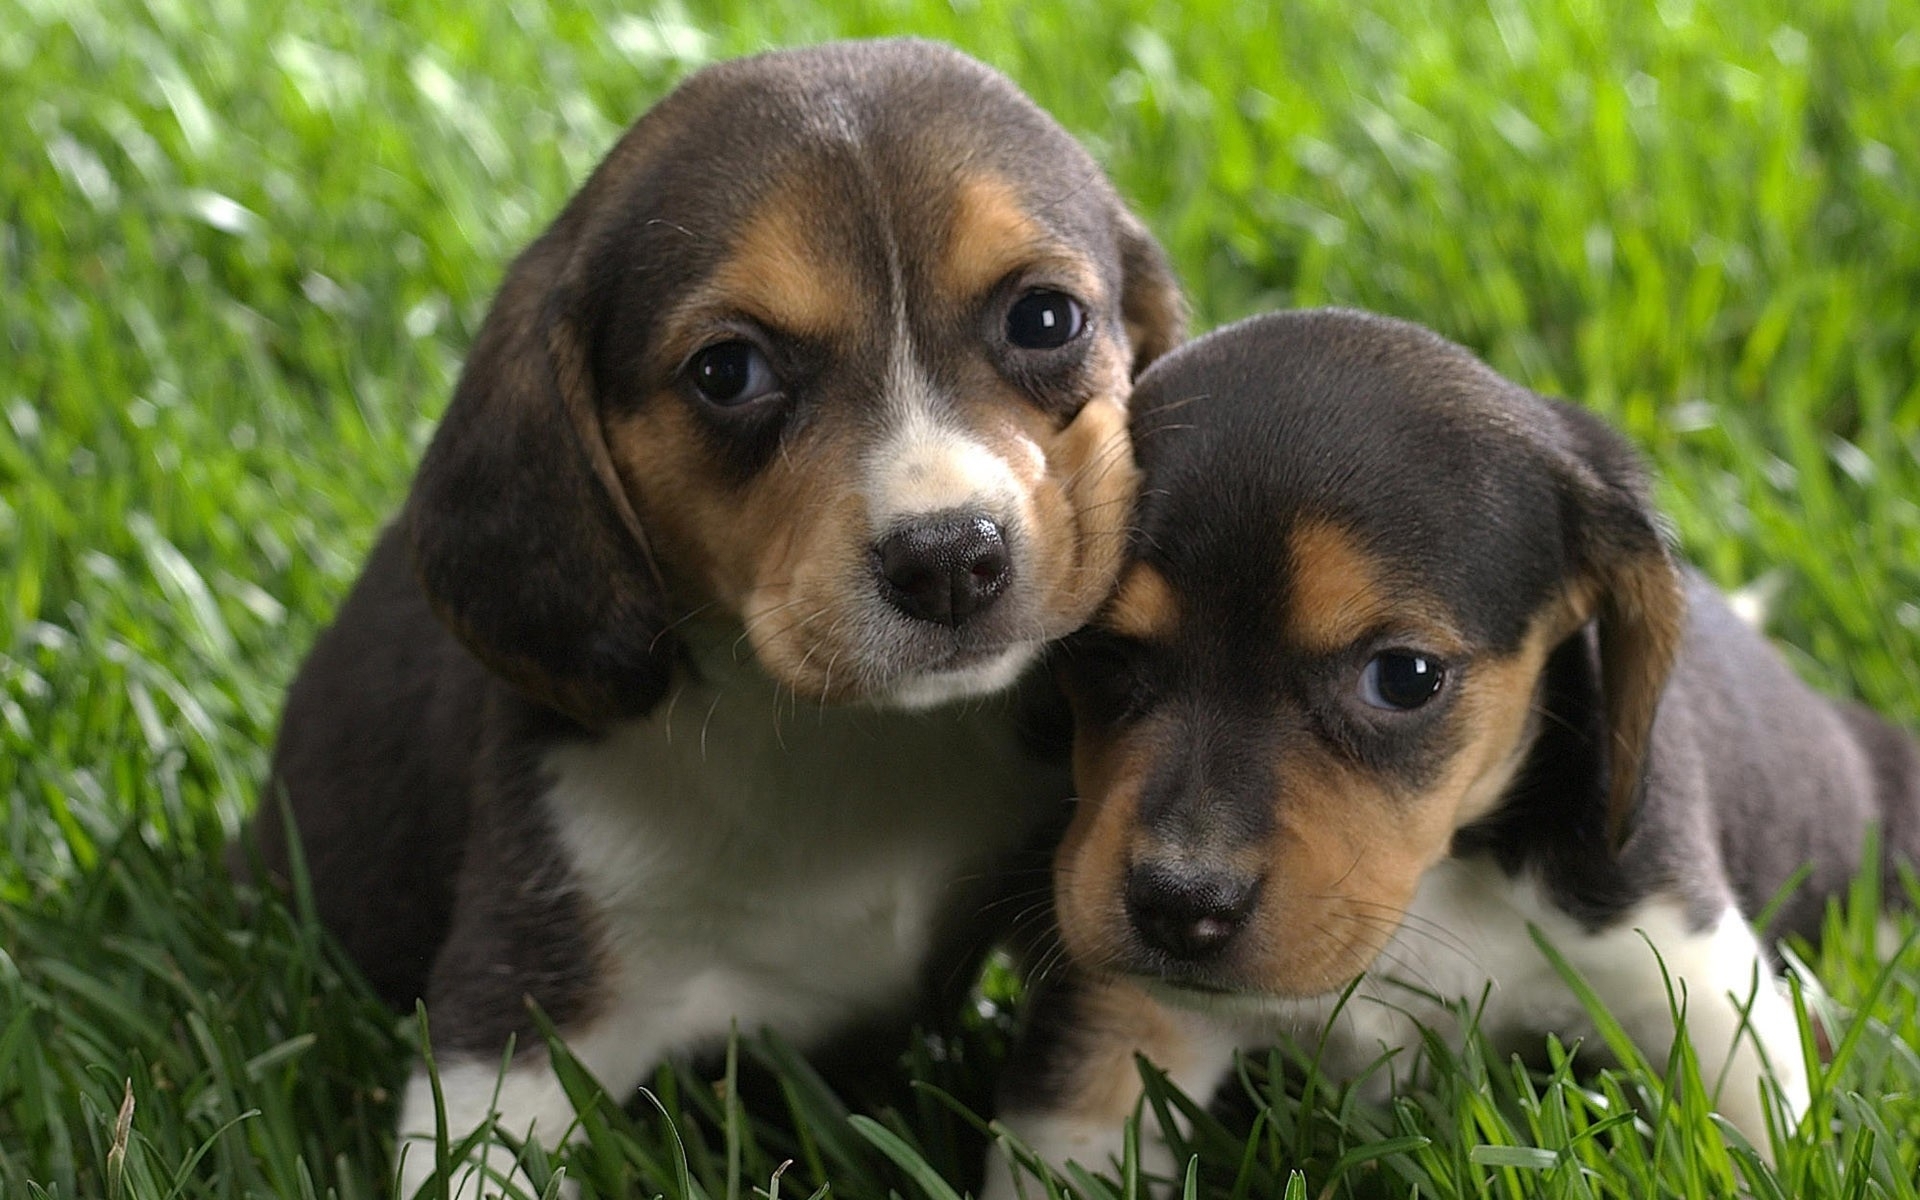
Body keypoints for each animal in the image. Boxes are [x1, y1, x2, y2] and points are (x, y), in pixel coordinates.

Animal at [990, 307, 1920, 1190]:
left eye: (1405, 677)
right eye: (1103, 651)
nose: (1178, 906)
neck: (1437, 881)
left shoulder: (1701, 978)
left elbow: (1759, 1134)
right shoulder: (1121, 1021)